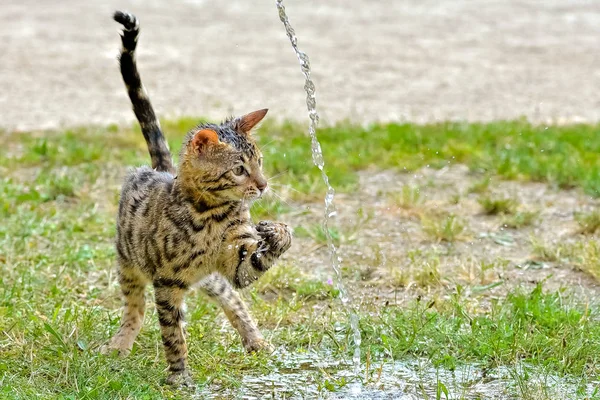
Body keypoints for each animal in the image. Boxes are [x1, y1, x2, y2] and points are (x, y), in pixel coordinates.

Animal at [104, 10, 294, 386]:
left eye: (260, 162)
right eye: (239, 169)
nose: (264, 185)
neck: (212, 215)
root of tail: (160, 169)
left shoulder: (236, 265)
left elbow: (253, 268)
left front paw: (277, 232)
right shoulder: (166, 282)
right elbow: (172, 334)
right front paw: (179, 376)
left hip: (209, 279)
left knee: (233, 302)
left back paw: (257, 342)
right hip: (129, 263)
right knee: (135, 308)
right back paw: (120, 344)